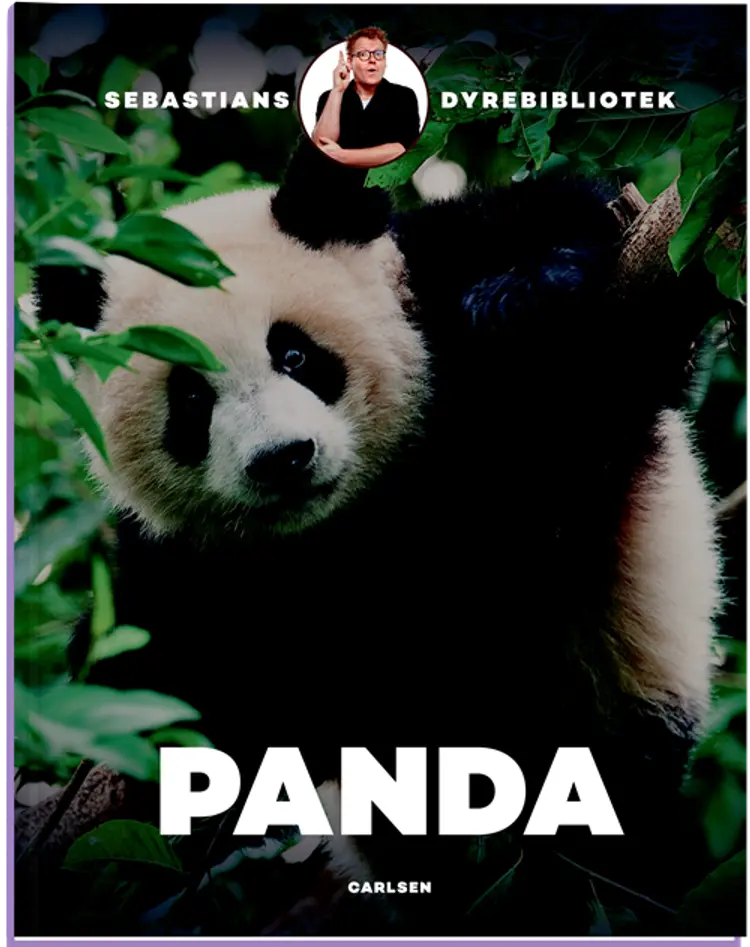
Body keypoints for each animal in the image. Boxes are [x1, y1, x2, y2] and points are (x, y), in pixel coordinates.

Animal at [31, 170, 724, 935]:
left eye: (296, 354)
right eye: (190, 398)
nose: (283, 459)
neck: (349, 526)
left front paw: (527, 293)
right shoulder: (189, 565)